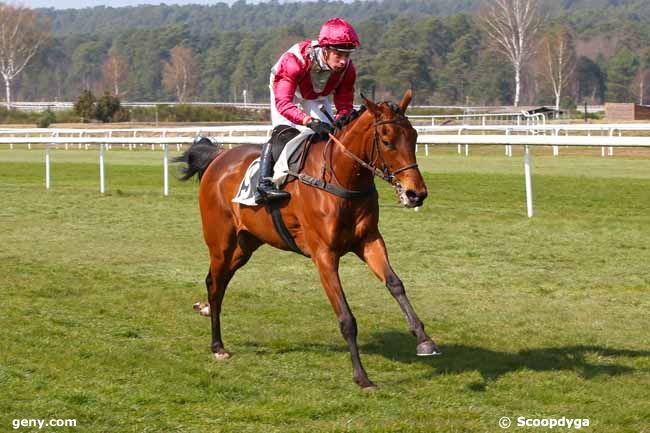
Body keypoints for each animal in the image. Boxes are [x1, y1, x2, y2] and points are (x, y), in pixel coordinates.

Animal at [177, 88, 438, 388]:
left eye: (415, 137)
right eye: (386, 141)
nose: (416, 194)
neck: (341, 178)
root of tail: (218, 157)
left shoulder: (369, 241)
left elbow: (395, 284)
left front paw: (424, 339)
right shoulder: (324, 255)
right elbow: (346, 318)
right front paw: (362, 376)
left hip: (245, 245)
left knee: (220, 282)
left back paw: (208, 315)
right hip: (221, 242)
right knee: (214, 284)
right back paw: (217, 345)